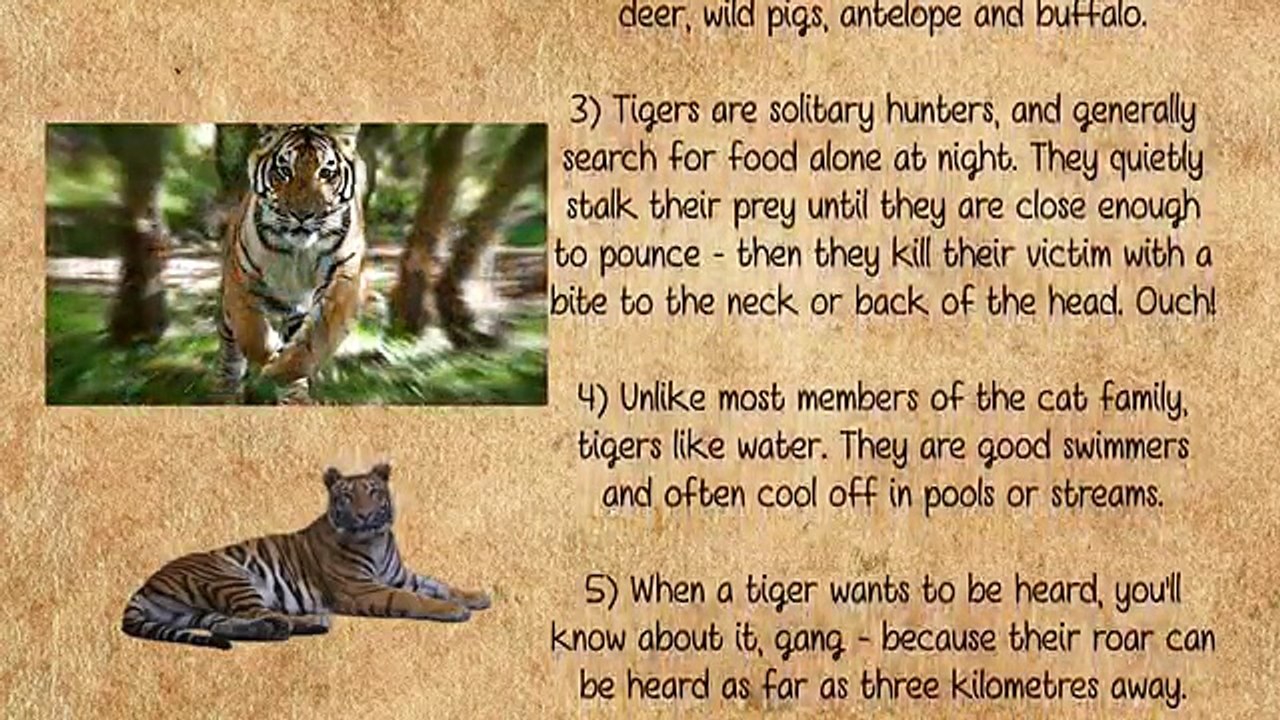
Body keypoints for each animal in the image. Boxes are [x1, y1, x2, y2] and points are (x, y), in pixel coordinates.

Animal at [121, 462, 491, 650]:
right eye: (346, 497)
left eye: (373, 492)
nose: (364, 516)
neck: (376, 540)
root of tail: (143, 587)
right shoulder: (362, 590)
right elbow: (413, 599)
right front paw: (453, 611)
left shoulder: (400, 575)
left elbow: (439, 584)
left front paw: (476, 596)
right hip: (230, 577)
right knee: (266, 614)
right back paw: (312, 621)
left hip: (196, 613)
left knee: (232, 623)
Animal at [217, 124, 369, 404]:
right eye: (284, 171)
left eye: (326, 173)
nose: (302, 214)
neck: (300, 251)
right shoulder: (240, 280)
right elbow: (253, 334)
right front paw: (268, 361)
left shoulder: (347, 277)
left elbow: (318, 338)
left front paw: (278, 372)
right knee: (229, 355)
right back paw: (225, 394)